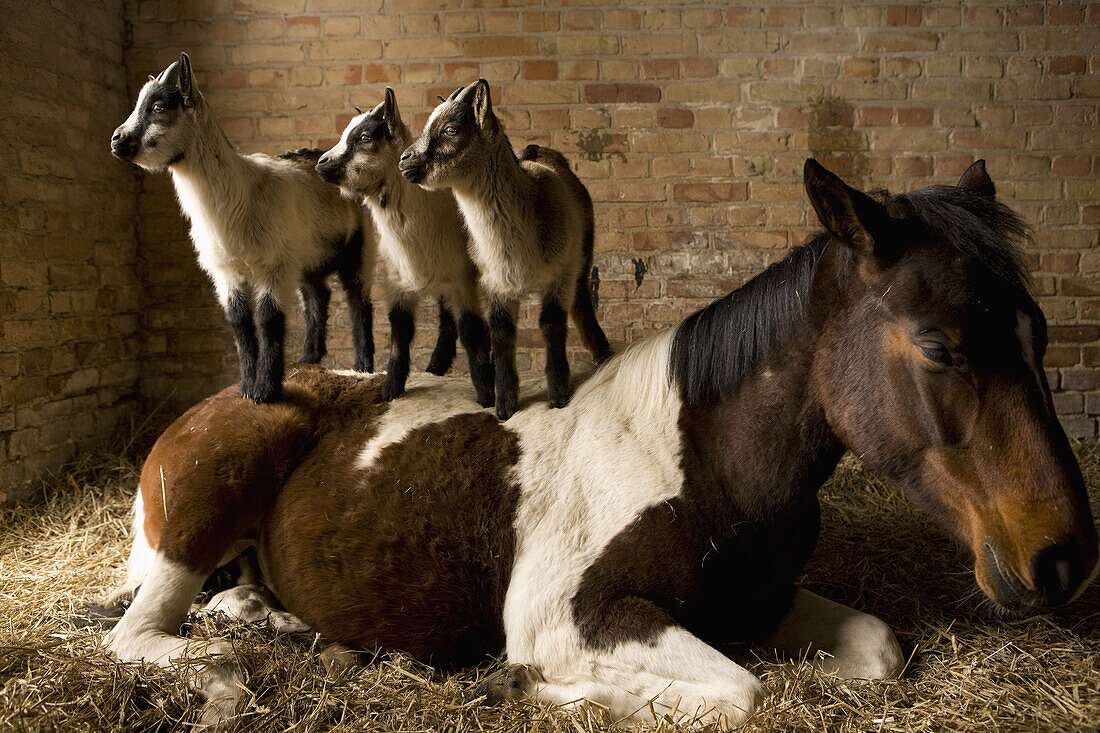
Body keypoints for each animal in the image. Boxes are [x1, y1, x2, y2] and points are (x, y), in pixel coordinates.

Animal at [99, 159, 1095, 726]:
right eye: (939, 346)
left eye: (1039, 334)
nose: (1063, 557)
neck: (703, 463)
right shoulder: (572, 618)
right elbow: (743, 693)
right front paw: (516, 686)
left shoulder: (762, 601)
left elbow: (879, 653)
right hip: (200, 509)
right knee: (141, 630)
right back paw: (231, 668)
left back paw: (288, 625)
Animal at [110, 53, 378, 402]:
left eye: (158, 106)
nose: (116, 140)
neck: (238, 197)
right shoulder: (226, 271)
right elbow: (239, 324)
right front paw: (247, 389)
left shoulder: (273, 267)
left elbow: (268, 321)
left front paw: (266, 390)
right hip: (305, 255)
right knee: (317, 296)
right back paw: (309, 359)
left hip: (358, 246)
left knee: (359, 300)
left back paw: (363, 367)